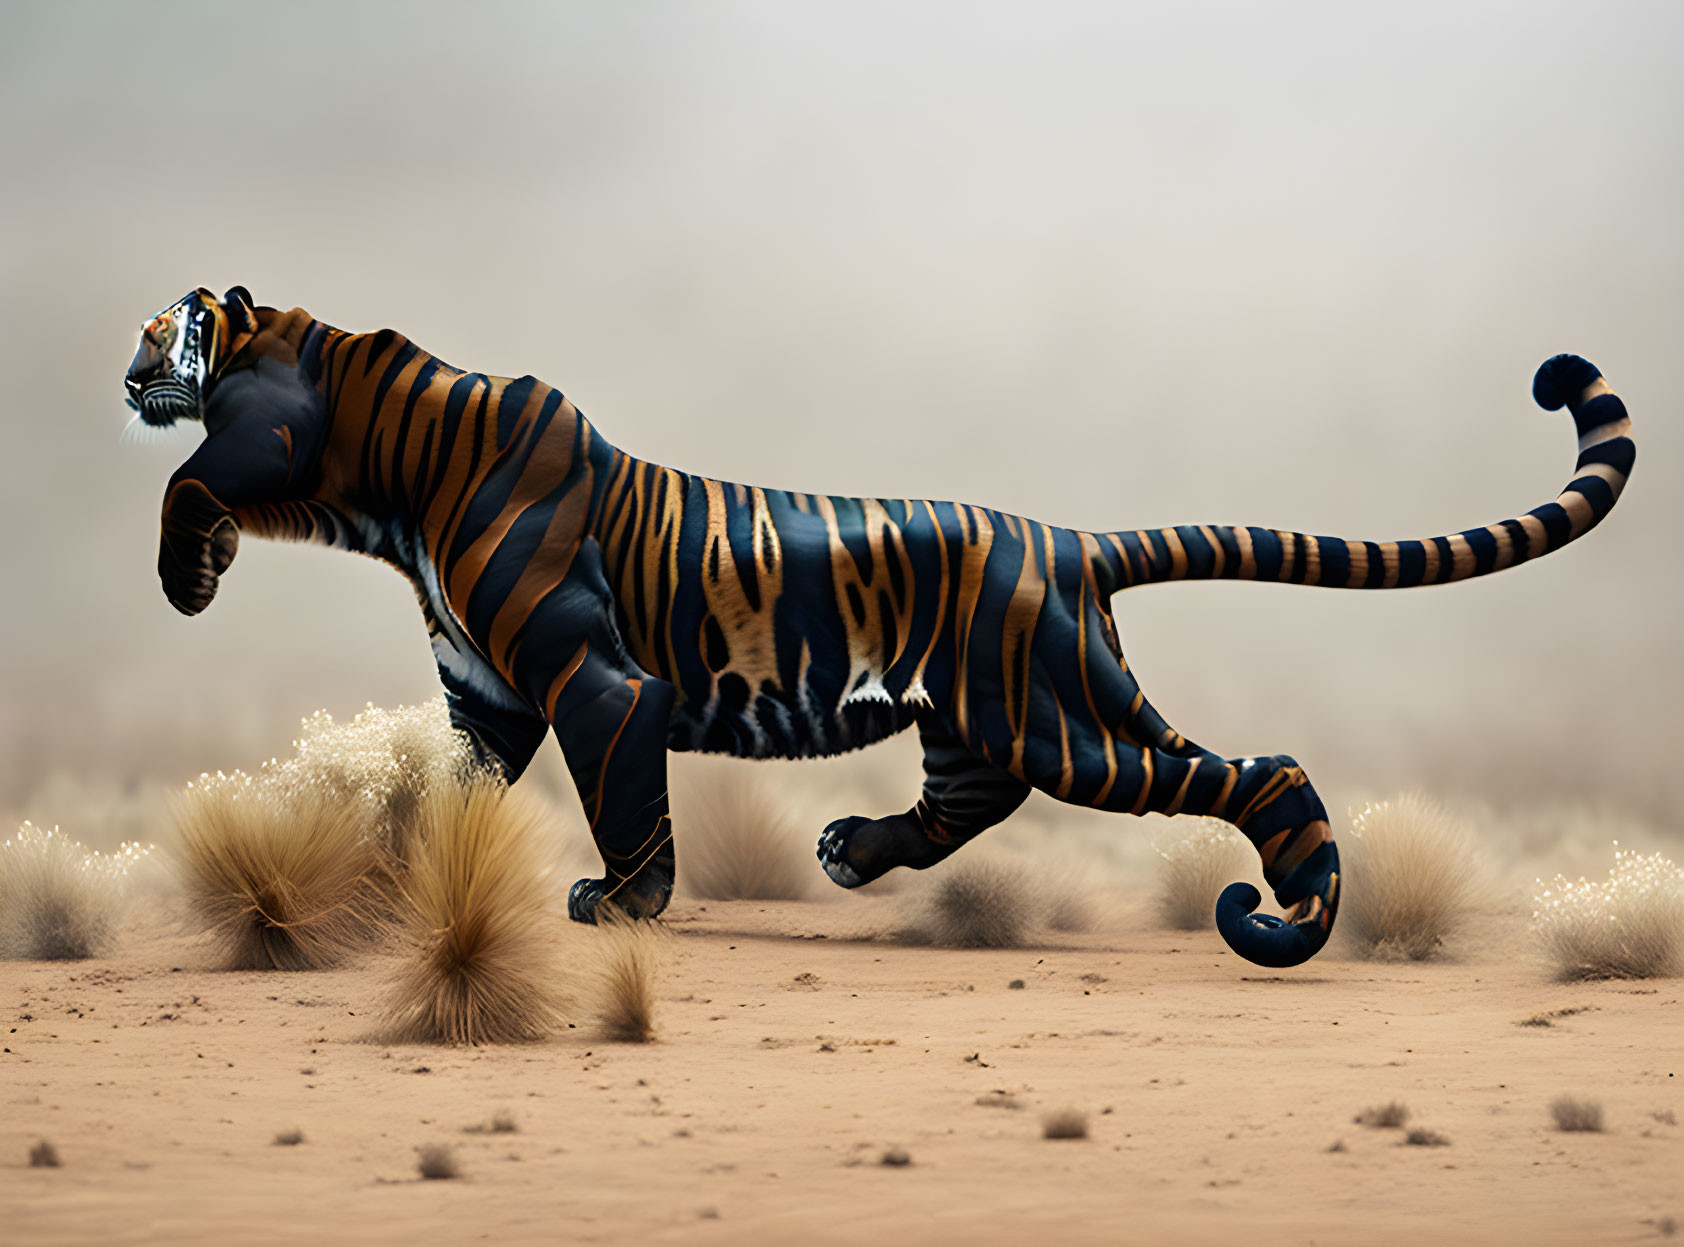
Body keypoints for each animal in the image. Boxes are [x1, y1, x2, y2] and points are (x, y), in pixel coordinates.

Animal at [124, 288, 1636, 970]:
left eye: (168, 336)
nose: (131, 375)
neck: (387, 480)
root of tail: (1069, 539)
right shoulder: (486, 696)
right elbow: (447, 794)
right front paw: (397, 884)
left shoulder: (600, 685)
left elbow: (625, 802)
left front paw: (623, 906)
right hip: (989, 720)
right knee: (972, 799)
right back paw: (852, 850)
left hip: (1067, 718)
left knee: (1251, 769)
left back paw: (1291, 913)